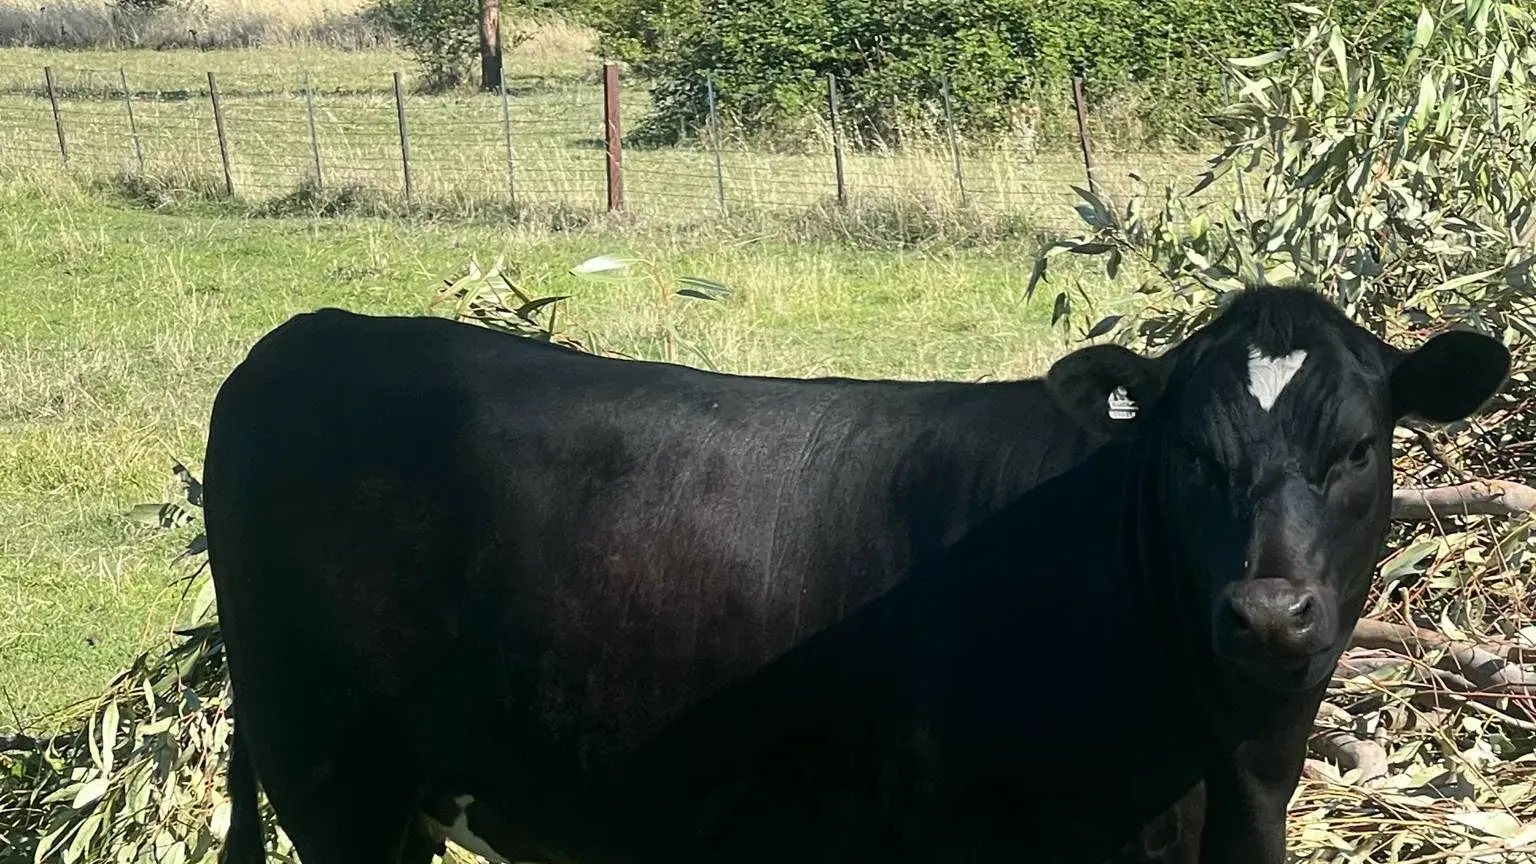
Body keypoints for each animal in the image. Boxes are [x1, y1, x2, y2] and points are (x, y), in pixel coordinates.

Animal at [205, 285, 1509, 864]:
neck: (1237, 765)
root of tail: (311, 333)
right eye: (1188, 453)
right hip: (331, 777)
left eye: (1359, 449)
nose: (1269, 610)